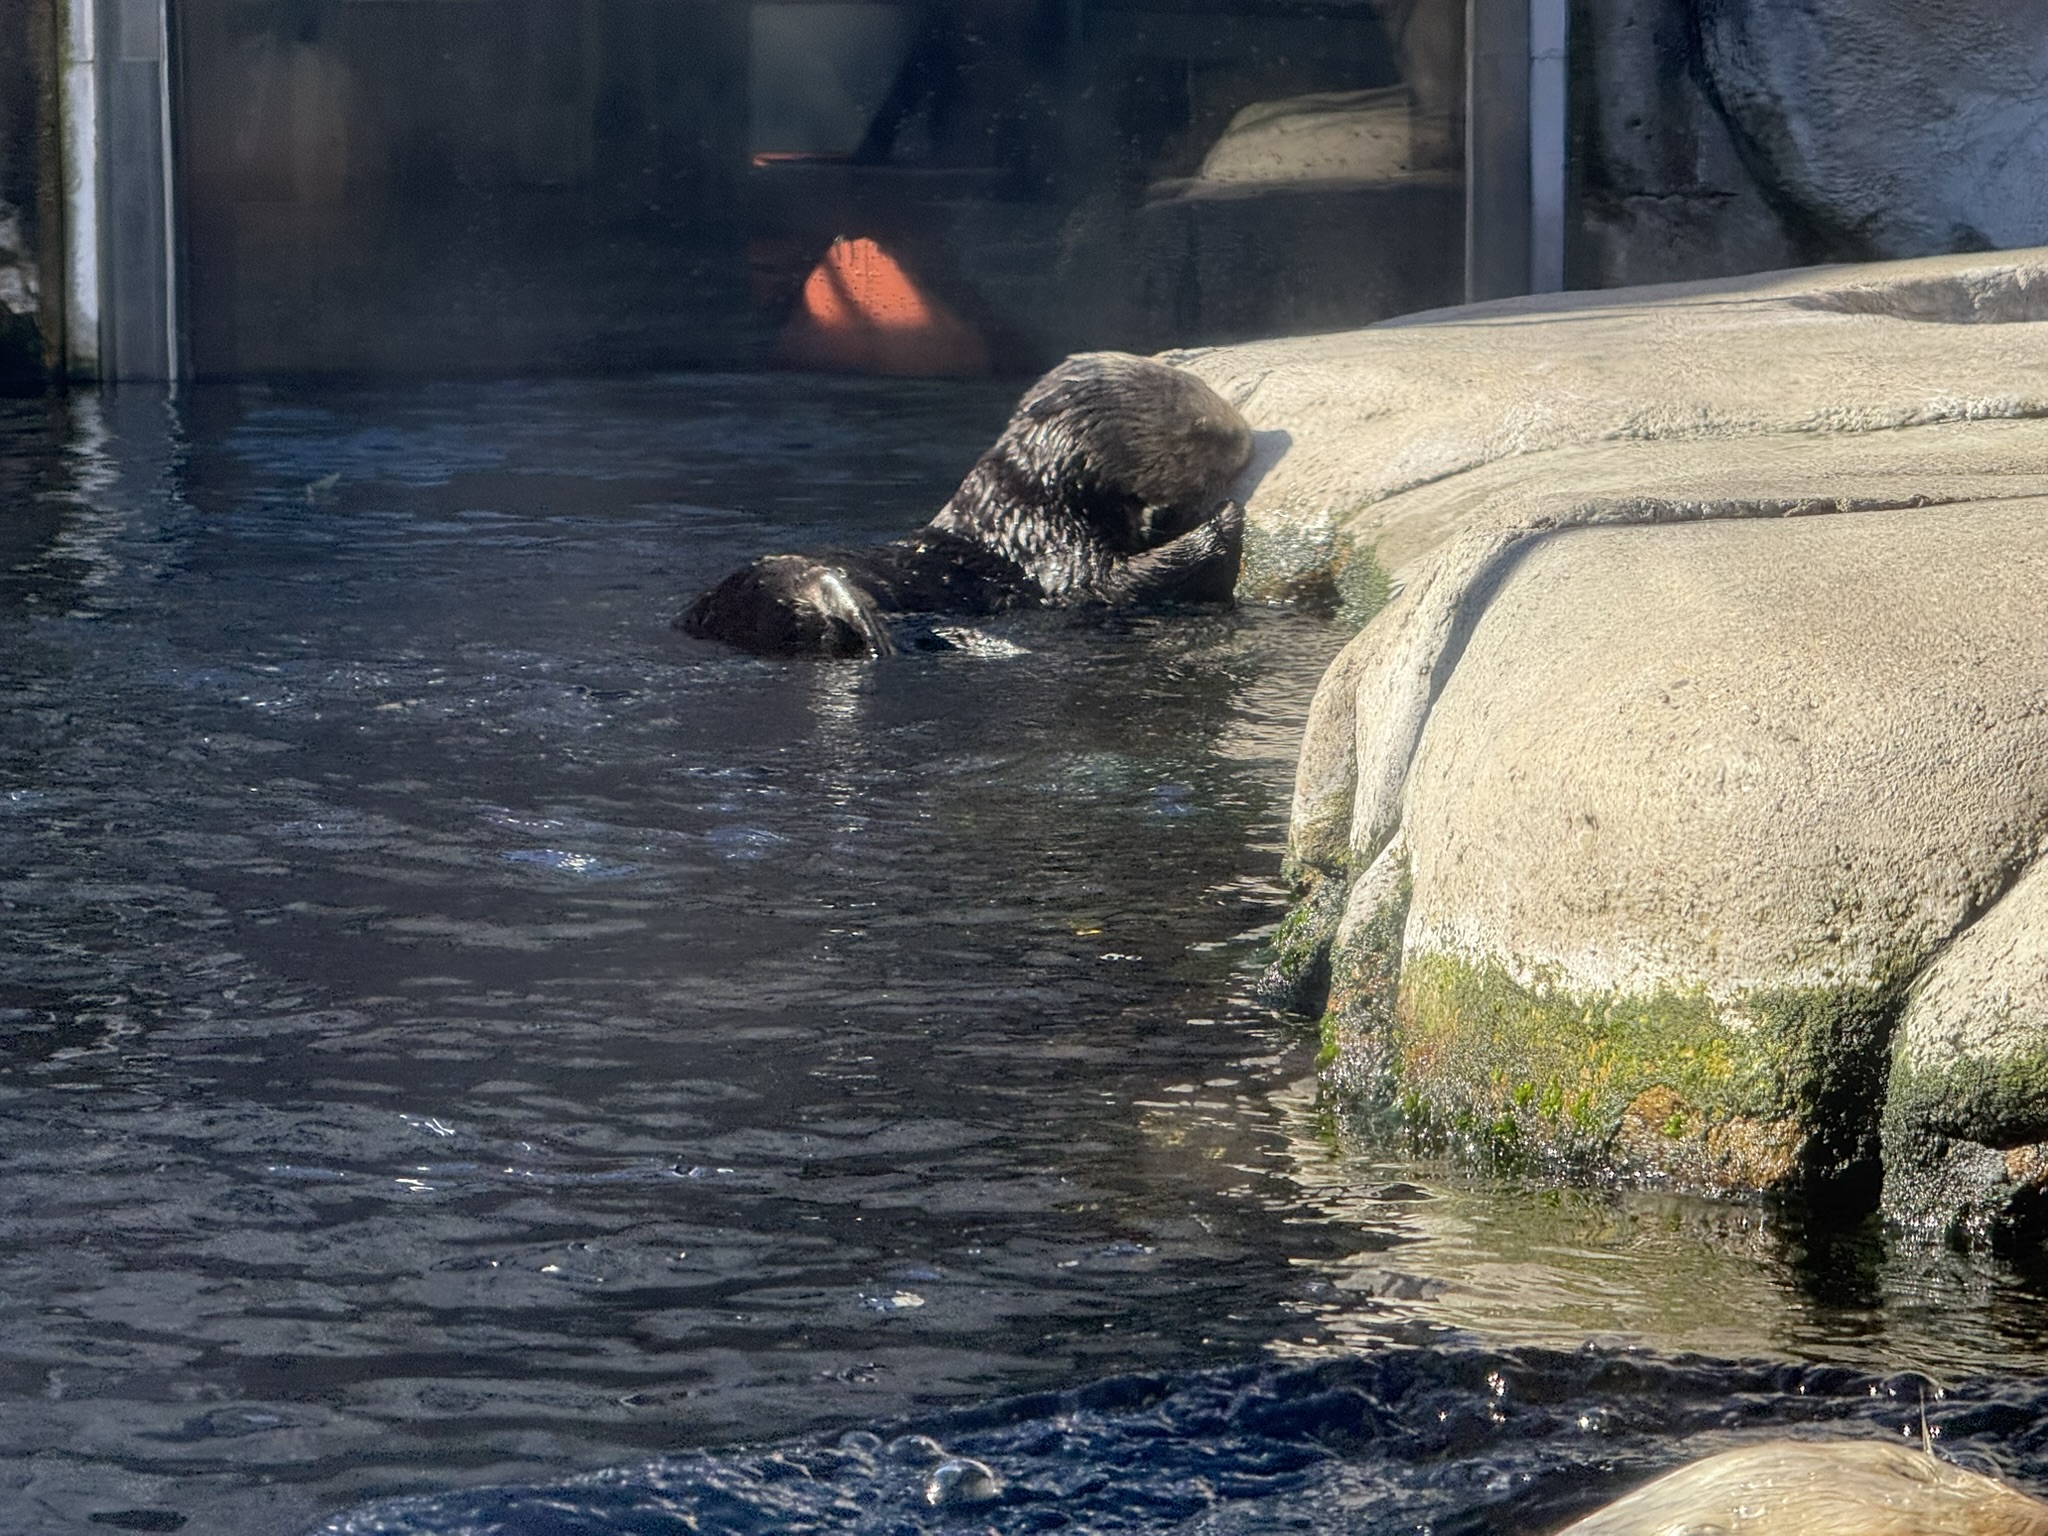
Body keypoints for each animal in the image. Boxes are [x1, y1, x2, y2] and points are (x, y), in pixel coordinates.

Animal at [675, 354, 1245, 655]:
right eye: (1204, 430)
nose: (1245, 438)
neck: (1031, 507)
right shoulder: (1056, 559)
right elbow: (1114, 586)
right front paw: (1223, 517)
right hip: (790, 584)